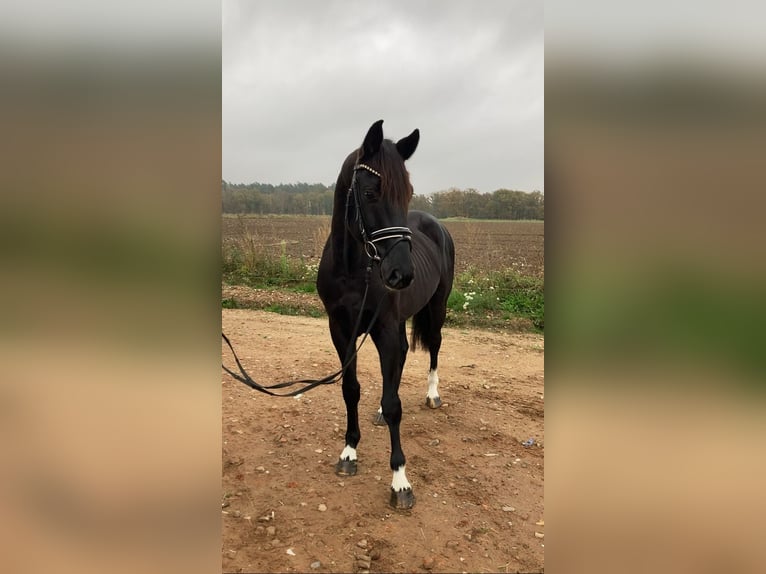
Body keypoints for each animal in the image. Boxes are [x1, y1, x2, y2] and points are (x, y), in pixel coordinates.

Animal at [318, 120, 456, 508]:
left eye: (408, 192)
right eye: (369, 193)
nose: (401, 275)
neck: (354, 270)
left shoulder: (384, 327)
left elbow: (395, 403)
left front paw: (400, 482)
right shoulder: (341, 330)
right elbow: (351, 388)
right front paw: (349, 451)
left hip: (435, 309)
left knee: (434, 346)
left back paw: (433, 395)